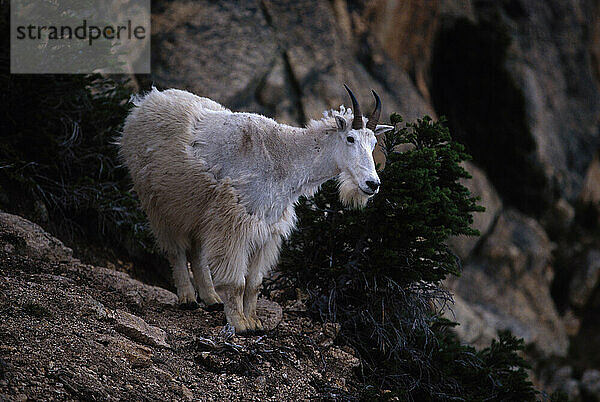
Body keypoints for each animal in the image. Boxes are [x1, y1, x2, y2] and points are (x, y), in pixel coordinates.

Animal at [120, 86, 394, 334]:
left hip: (199, 209)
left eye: (373, 142)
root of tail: (144, 102)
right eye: (350, 138)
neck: (287, 160)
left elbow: (254, 283)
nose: (372, 184)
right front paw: (240, 325)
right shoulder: (235, 223)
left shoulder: (268, 230)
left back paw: (211, 298)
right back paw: (188, 298)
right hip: (159, 202)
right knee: (175, 249)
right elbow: (237, 282)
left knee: (197, 251)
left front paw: (255, 322)